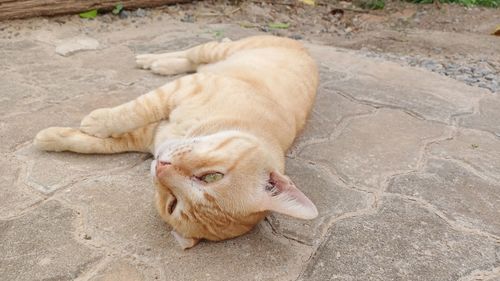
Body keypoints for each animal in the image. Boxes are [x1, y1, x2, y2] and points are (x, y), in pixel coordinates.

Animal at [33, 35, 318, 247]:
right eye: (212, 176)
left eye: (173, 203)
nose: (162, 166)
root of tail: (305, 48)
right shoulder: (181, 90)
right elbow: (135, 110)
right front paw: (99, 120)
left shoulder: (147, 136)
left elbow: (101, 142)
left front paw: (52, 137)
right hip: (218, 51)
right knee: (194, 52)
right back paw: (153, 60)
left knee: (193, 59)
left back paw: (161, 64)